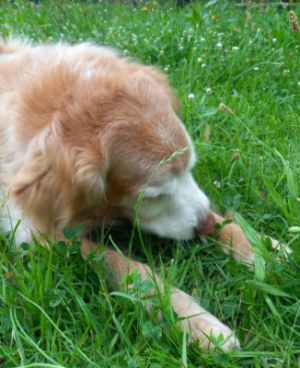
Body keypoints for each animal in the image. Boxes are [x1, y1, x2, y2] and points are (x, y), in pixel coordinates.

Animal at [0, 38, 288, 352]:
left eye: (191, 167)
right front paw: (192, 319)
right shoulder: (35, 231)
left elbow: (224, 221)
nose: (206, 228)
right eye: (154, 196)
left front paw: (260, 247)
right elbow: (122, 266)